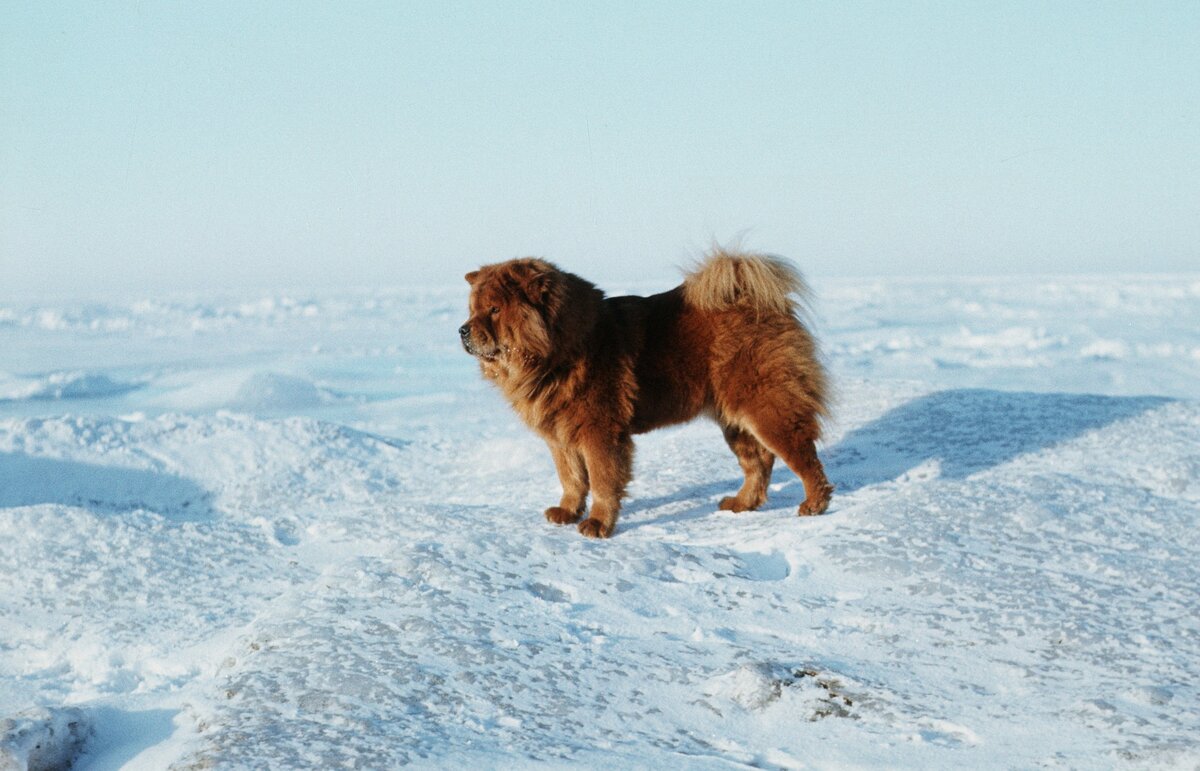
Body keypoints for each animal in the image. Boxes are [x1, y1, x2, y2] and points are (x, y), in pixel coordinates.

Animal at [458, 249, 835, 538]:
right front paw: (567, 512)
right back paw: (742, 504)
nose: (462, 330)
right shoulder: (560, 436)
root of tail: (759, 300)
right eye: (472, 310)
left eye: (494, 310)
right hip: (734, 420)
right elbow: (572, 478)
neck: (557, 350)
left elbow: (602, 480)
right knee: (759, 462)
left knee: (802, 455)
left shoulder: (599, 432)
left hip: (767, 408)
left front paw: (597, 524)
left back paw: (814, 504)